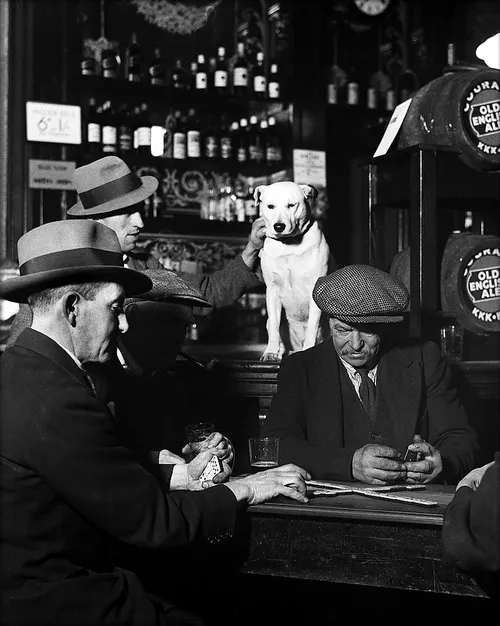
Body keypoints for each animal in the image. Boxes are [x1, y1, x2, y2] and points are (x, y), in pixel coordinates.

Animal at [254, 180, 336, 358]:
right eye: (270, 206)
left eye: (291, 205)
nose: (279, 226)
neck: (288, 246)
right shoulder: (272, 291)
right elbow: (274, 326)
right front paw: (271, 352)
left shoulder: (315, 290)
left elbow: (312, 326)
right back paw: (281, 352)